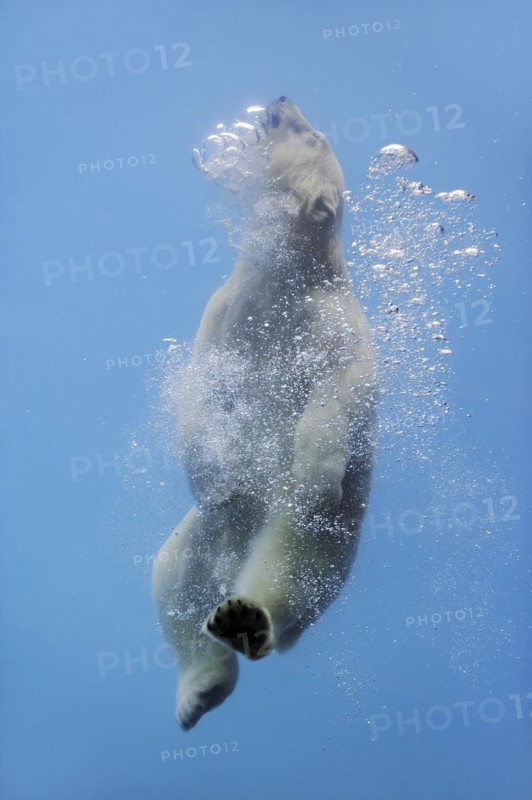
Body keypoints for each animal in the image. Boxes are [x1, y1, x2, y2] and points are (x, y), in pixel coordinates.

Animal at [152, 97, 378, 730]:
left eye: (314, 134)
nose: (278, 103)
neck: (285, 278)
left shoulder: (334, 323)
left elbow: (341, 392)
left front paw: (317, 471)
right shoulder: (227, 311)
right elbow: (199, 389)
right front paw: (212, 473)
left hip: (324, 526)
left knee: (296, 564)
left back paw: (249, 618)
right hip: (207, 531)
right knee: (174, 578)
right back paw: (200, 686)